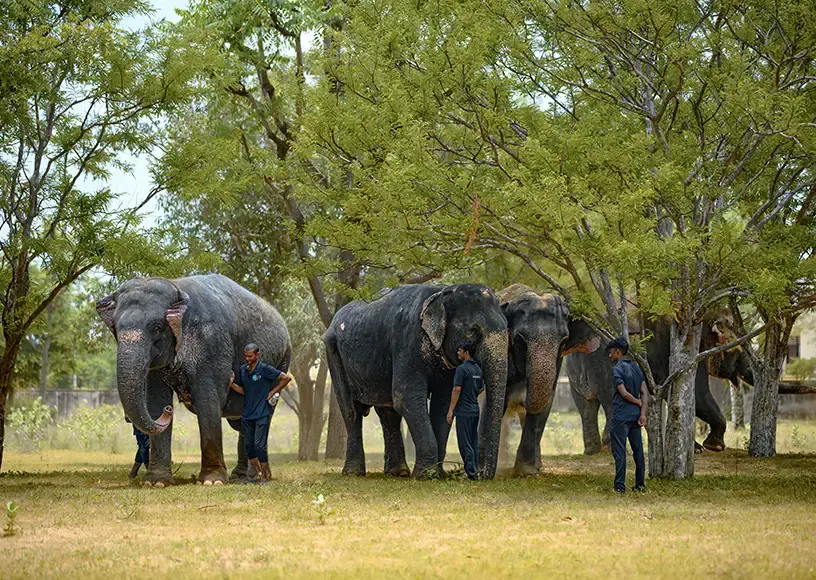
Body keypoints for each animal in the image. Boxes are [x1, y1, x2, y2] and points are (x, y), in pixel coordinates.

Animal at [96, 274, 291, 485]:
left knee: (261, 417)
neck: (176, 286)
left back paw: (256, 476)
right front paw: (155, 482)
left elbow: (208, 399)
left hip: (283, 358)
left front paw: (212, 481)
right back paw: (241, 476)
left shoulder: (212, 342)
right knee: (240, 422)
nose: (169, 410)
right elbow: (155, 399)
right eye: (116, 328)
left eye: (156, 327)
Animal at [323, 284, 508, 479]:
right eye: (472, 332)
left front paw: (438, 474)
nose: (481, 474)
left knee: (388, 413)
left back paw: (398, 472)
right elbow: (406, 397)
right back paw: (353, 473)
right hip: (333, 353)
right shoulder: (407, 342)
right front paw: (426, 475)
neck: (442, 292)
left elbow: (443, 403)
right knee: (351, 411)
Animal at [497, 284, 601, 476]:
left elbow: (544, 406)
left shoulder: (557, 363)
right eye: (519, 339)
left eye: (564, 341)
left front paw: (526, 472)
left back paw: (537, 465)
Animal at [566, 317, 754, 455]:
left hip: (574, 375)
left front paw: (703, 447)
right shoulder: (688, 356)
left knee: (586, 407)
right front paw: (707, 448)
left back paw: (592, 450)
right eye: (738, 353)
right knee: (610, 402)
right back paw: (613, 448)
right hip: (605, 369)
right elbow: (698, 395)